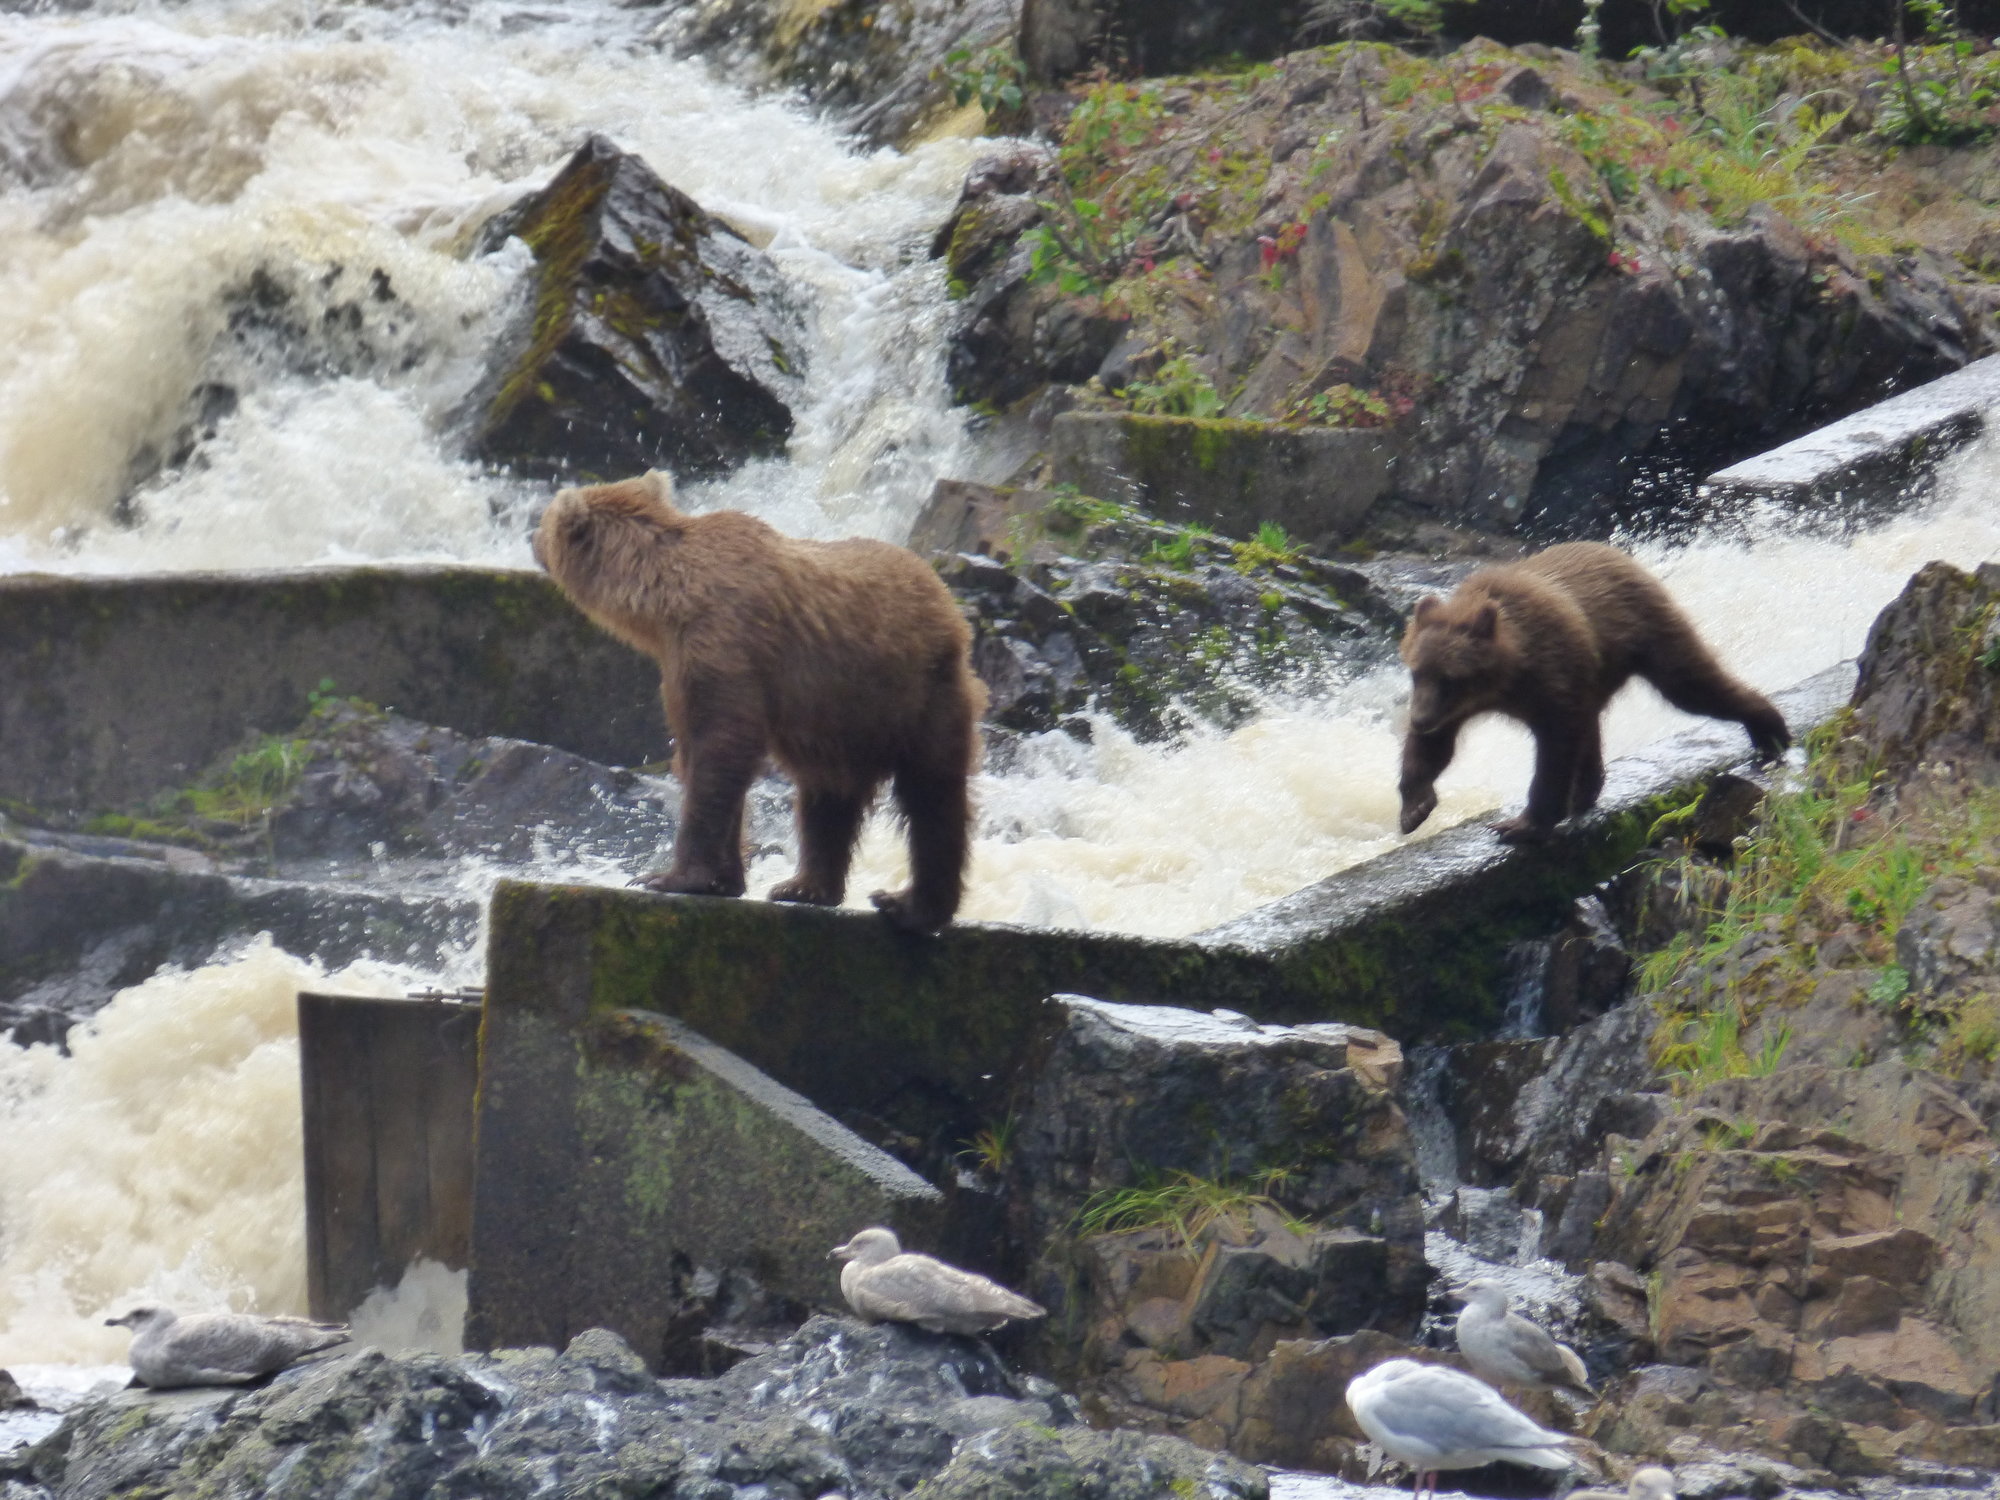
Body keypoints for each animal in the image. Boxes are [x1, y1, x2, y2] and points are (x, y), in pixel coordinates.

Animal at [536, 476, 988, 936]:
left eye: (544, 518)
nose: (532, 537)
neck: (664, 602)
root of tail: (946, 599)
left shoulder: (724, 644)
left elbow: (721, 749)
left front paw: (668, 876)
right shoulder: (683, 668)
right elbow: (702, 752)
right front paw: (724, 879)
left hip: (919, 694)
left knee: (931, 797)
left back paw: (908, 904)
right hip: (838, 719)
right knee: (826, 798)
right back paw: (805, 887)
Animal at [1392, 540, 1800, 848]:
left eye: (1450, 678)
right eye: (1415, 672)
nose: (1420, 718)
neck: (1508, 675)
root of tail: (1621, 553)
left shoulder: (1549, 678)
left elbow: (1555, 750)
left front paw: (1521, 823)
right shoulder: (1461, 706)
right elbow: (1433, 748)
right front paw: (1415, 807)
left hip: (1648, 636)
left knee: (1693, 686)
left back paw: (1770, 731)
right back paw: (1586, 792)